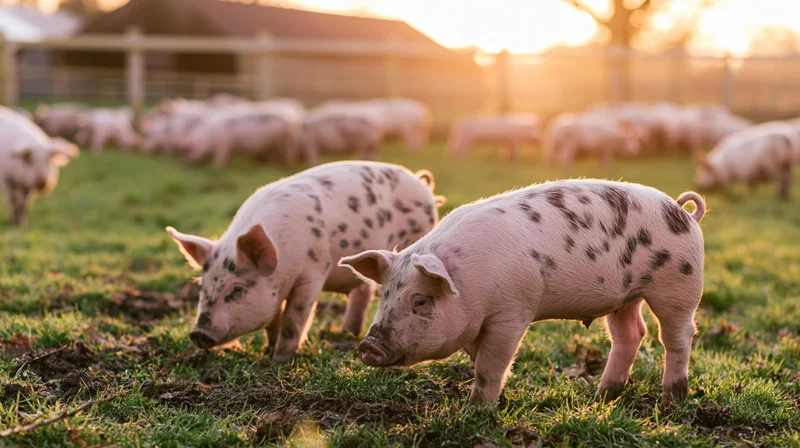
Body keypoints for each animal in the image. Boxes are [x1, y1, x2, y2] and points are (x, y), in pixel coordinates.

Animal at [166, 161, 445, 361]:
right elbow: (274, 320)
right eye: (202, 287)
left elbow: (294, 317)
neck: (282, 265)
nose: (198, 333)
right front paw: (268, 349)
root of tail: (421, 183)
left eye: (237, 289)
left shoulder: (312, 272)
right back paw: (345, 333)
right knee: (362, 292)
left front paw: (278, 361)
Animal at [341, 180, 706, 408]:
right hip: (626, 297)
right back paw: (602, 397)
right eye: (384, 296)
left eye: (420, 301)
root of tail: (683, 212)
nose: (368, 346)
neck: (469, 285)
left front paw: (476, 411)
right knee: (630, 334)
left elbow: (490, 364)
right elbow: (478, 359)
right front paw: (496, 401)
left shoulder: (512, 312)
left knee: (677, 336)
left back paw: (670, 401)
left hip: (677, 286)